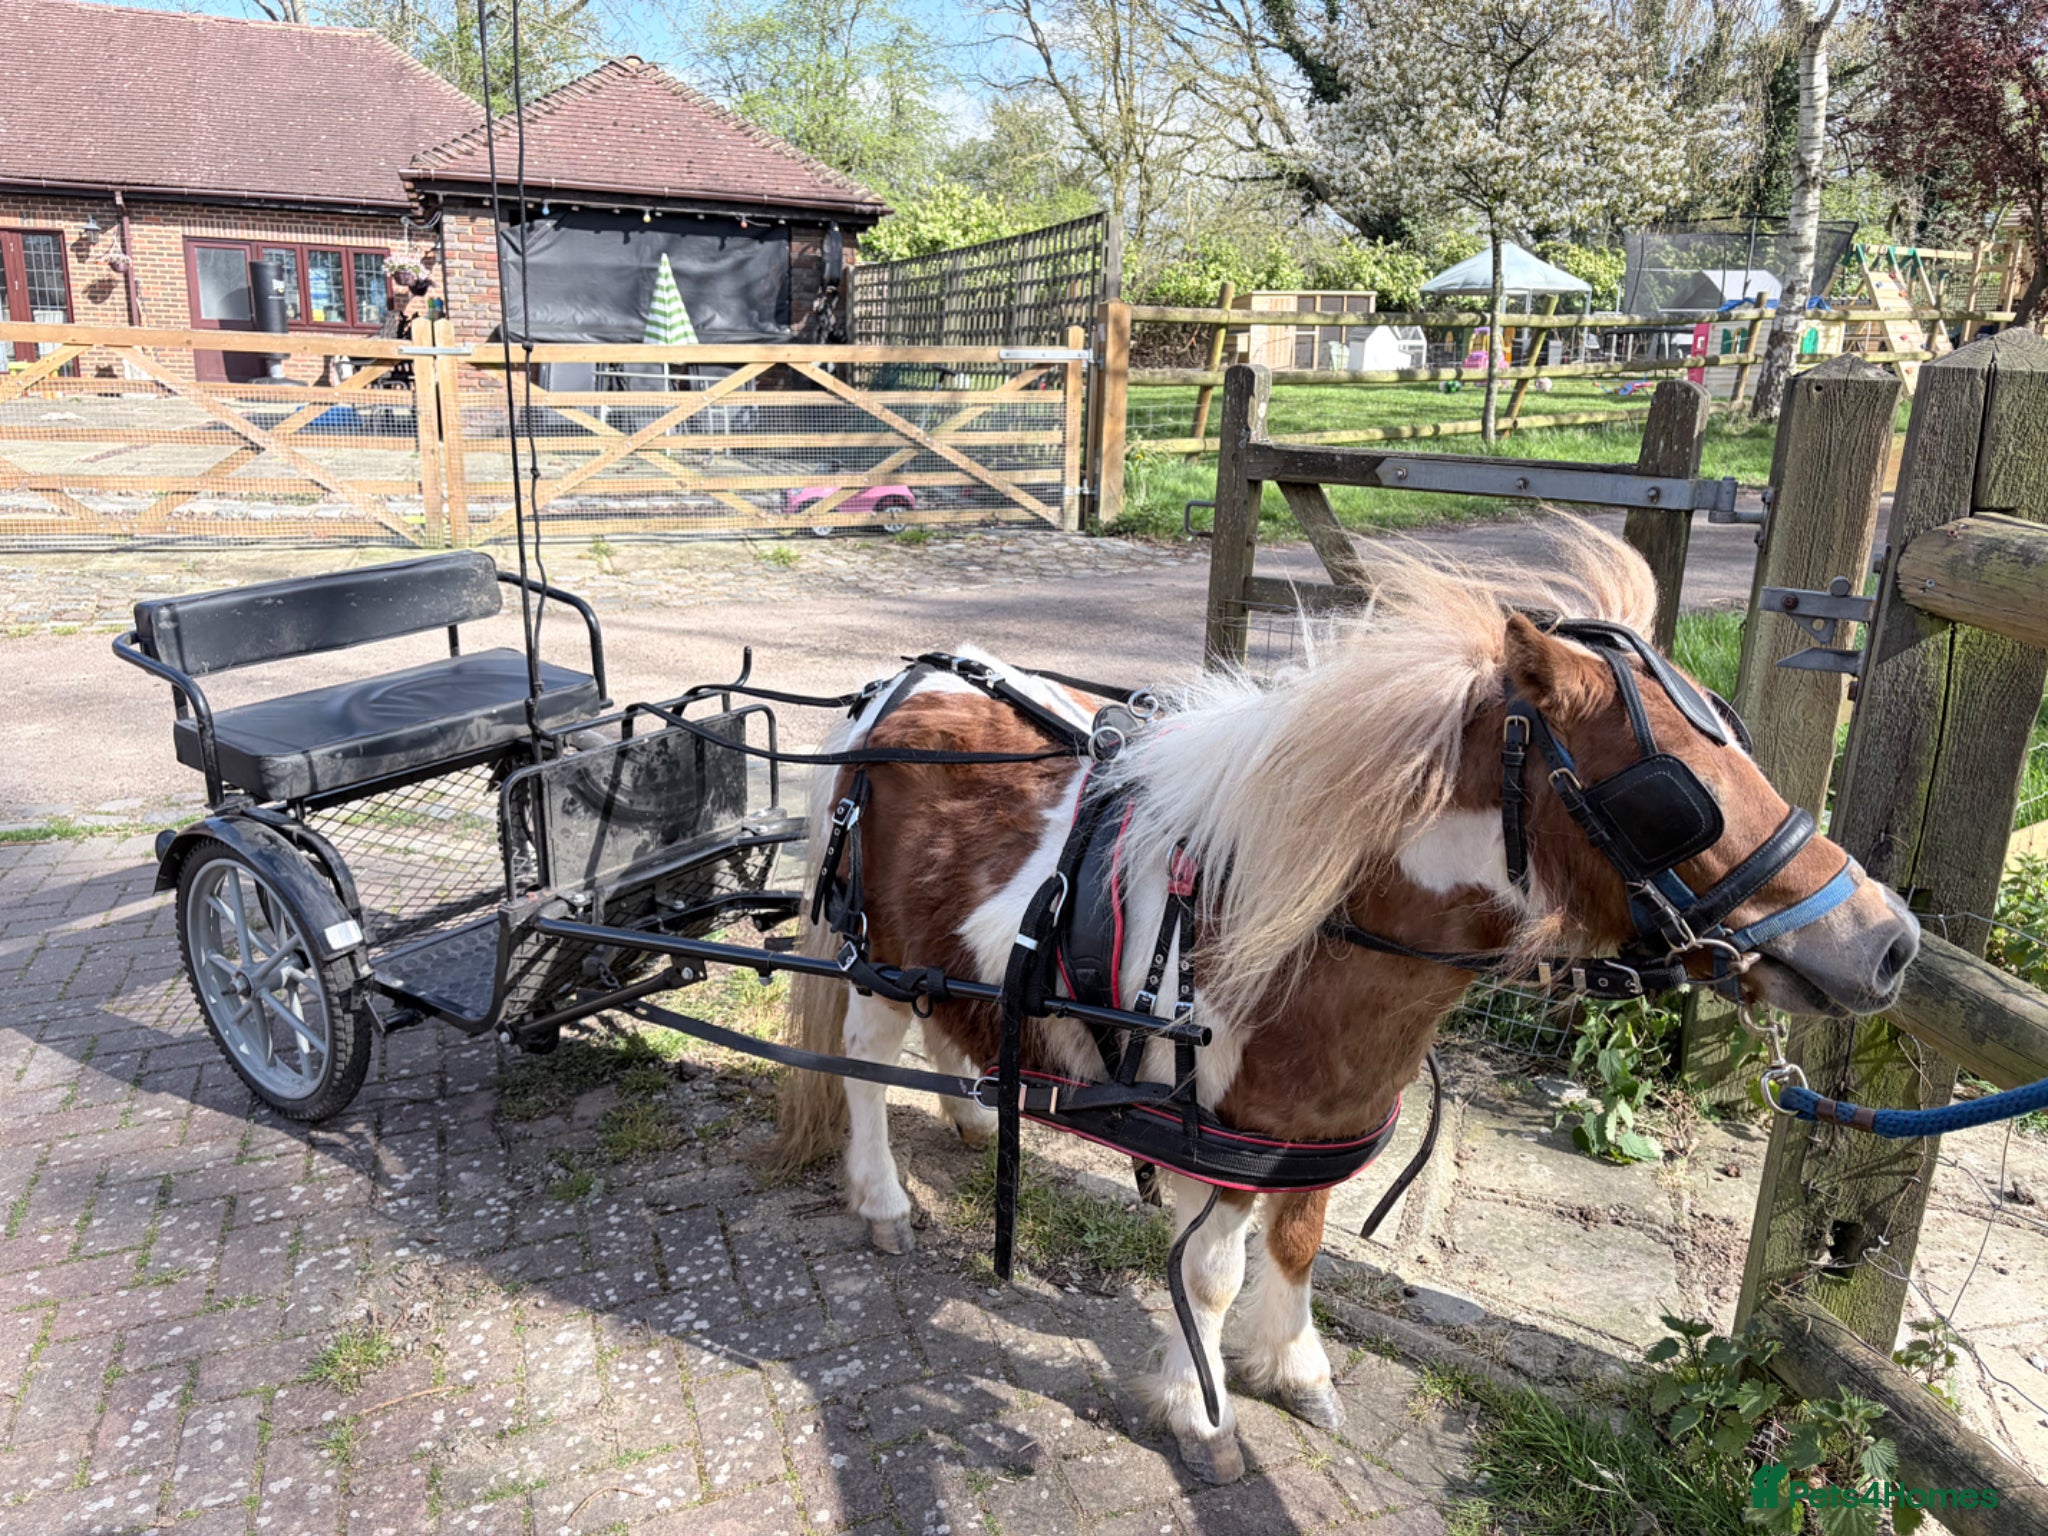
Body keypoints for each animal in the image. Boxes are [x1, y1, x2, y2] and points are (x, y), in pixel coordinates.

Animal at [768, 520, 1919, 1484]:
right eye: (1671, 799)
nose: (1887, 943)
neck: (1303, 923)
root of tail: (905, 683)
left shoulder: (1313, 1127)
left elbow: (1300, 1242)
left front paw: (1295, 1368)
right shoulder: (1214, 1139)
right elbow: (1210, 1277)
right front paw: (1203, 1413)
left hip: (950, 962)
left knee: (946, 1024)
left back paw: (974, 1111)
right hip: (878, 962)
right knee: (866, 1065)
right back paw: (882, 1198)